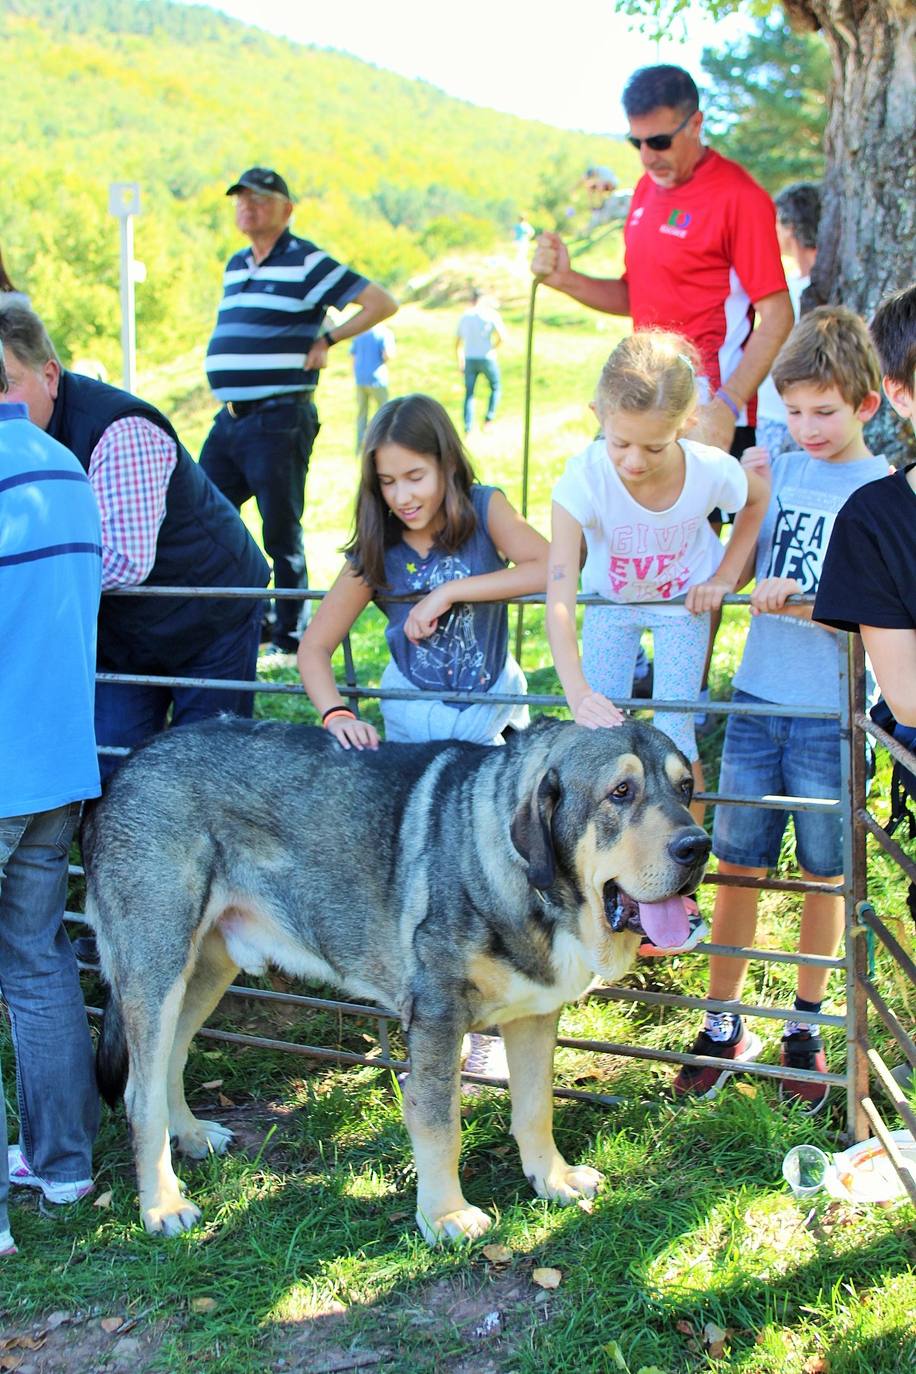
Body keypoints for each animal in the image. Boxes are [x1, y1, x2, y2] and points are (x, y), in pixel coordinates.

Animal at [85, 719, 714, 1247]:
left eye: (685, 788)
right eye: (621, 793)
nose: (698, 847)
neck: (524, 883)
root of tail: (127, 766)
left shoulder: (535, 1017)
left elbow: (536, 1107)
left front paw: (551, 1178)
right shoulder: (437, 1020)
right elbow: (440, 1124)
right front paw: (445, 1215)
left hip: (205, 971)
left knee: (170, 1061)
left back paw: (189, 1136)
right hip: (157, 968)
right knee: (139, 1094)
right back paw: (162, 1206)